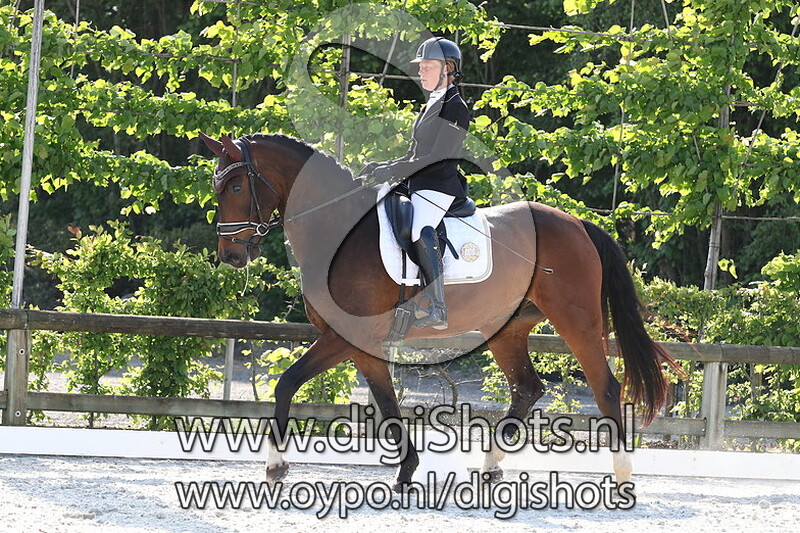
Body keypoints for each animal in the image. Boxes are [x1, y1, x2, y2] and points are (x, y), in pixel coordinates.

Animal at [199, 131, 683, 491]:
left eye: (237, 187)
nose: (230, 255)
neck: (338, 230)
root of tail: (578, 224)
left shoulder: (343, 338)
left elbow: (287, 383)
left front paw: (275, 466)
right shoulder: (360, 344)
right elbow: (386, 403)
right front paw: (406, 471)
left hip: (576, 319)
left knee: (606, 388)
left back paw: (621, 475)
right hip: (506, 328)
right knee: (526, 389)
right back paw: (489, 467)